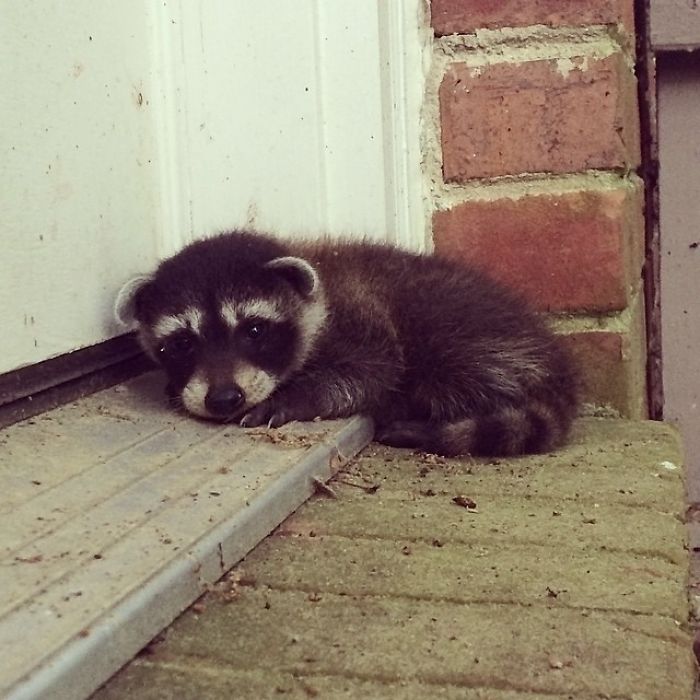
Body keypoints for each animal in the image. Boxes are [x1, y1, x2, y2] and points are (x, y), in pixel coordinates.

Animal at [115, 231, 576, 460]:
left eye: (254, 331)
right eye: (181, 343)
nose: (225, 398)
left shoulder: (362, 317)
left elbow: (373, 371)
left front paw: (294, 396)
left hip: (465, 337)